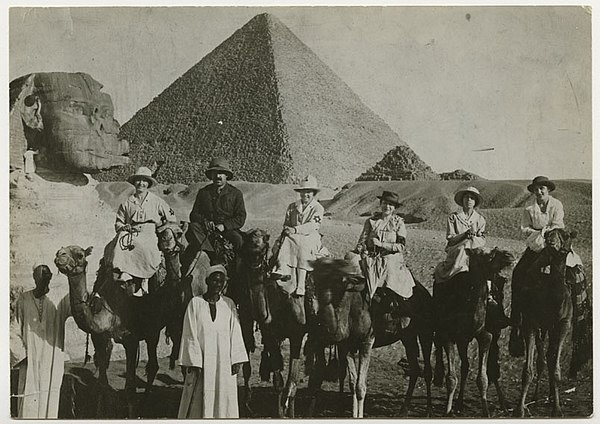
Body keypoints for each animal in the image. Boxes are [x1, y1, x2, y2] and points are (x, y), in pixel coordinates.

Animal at [53, 224, 186, 416]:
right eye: (60, 251)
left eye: (80, 255)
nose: (59, 256)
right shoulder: (100, 337)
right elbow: (102, 383)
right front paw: (99, 414)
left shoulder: (131, 340)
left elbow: (130, 388)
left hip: (153, 330)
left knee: (153, 365)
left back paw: (143, 407)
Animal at [308, 255, 434, 418]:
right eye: (316, 281)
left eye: (338, 283)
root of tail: (425, 293)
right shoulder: (347, 345)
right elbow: (352, 383)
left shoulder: (366, 341)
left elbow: (360, 386)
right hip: (408, 336)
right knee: (414, 369)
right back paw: (403, 410)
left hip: (426, 332)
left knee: (427, 370)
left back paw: (428, 411)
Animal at [432, 247, 516, 416]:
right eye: (486, 255)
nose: (509, 255)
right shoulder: (449, 336)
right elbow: (451, 378)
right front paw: (447, 410)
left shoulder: (486, 336)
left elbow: (482, 378)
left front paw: (486, 411)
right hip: (456, 337)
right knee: (460, 363)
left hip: (483, 336)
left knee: (483, 367)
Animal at [512, 229, 580, 418]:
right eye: (548, 233)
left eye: (565, 235)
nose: (550, 241)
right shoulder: (530, 323)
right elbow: (528, 370)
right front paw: (520, 409)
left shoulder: (564, 325)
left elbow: (556, 369)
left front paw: (557, 409)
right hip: (540, 327)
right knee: (542, 359)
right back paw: (536, 398)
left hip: (552, 328)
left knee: (549, 358)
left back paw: (550, 397)